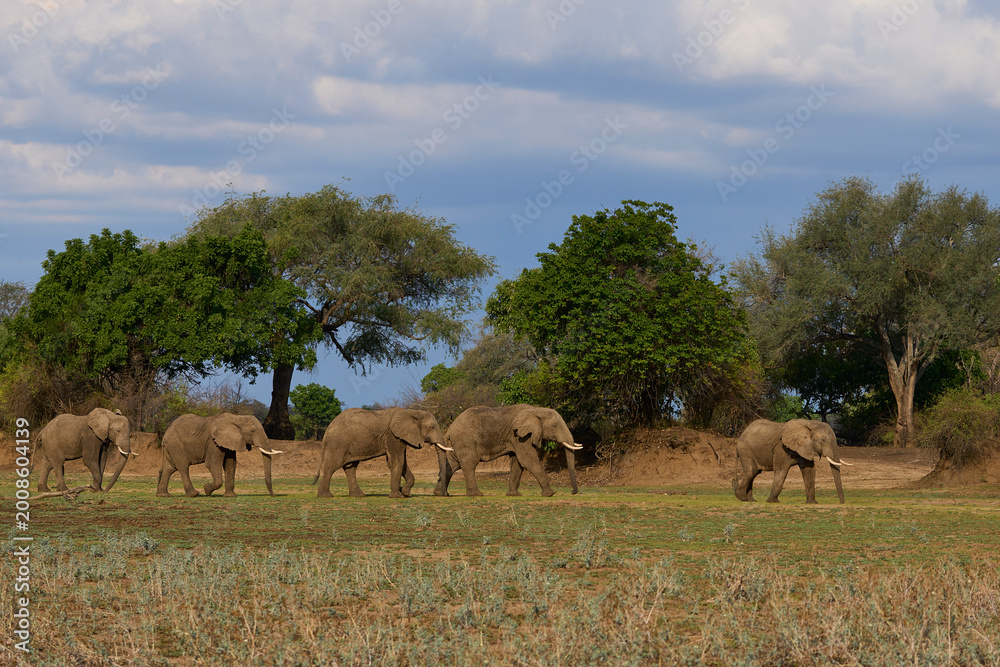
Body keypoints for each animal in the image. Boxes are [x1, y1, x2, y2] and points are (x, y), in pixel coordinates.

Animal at [314, 407, 448, 498]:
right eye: (431, 427)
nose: (442, 494)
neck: (412, 412)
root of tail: (328, 429)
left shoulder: (400, 437)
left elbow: (401, 462)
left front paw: (405, 492)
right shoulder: (392, 436)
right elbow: (397, 461)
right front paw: (397, 496)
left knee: (350, 467)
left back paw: (359, 495)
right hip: (338, 442)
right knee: (333, 466)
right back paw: (325, 496)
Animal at [433, 404, 582, 497]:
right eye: (555, 426)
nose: (572, 492)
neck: (536, 410)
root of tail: (449, 430)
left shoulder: (518, 438)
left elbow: (518, 462)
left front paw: (514, 495)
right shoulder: (519, 436)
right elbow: (528, 460)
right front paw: (550, 493)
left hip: (457, 443)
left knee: (451, 465)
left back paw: (441, 494)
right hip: (465, 440)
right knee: (469, 464)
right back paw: (476, 494)